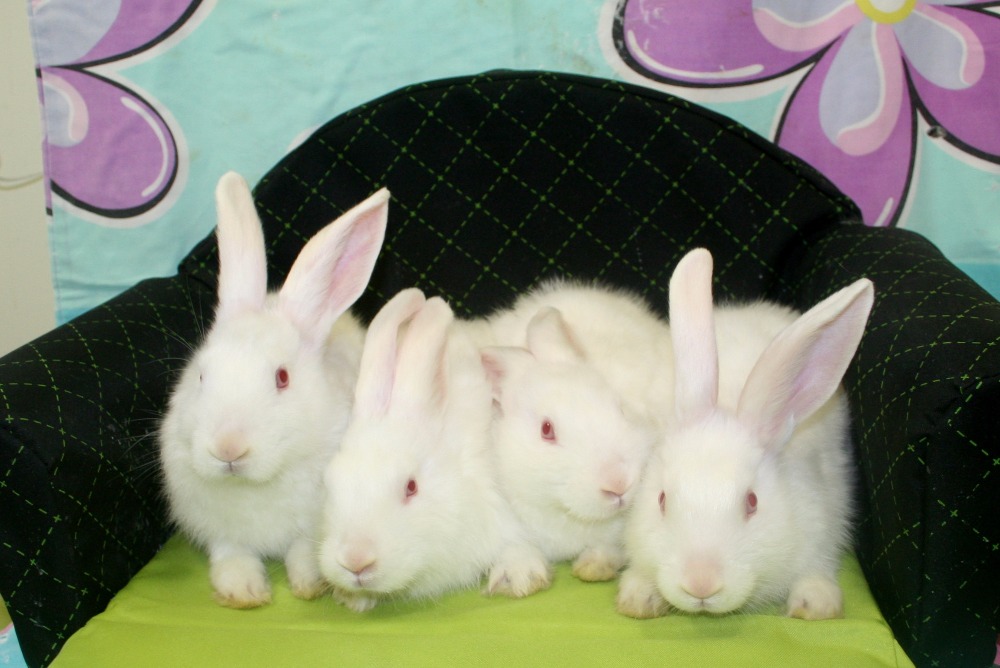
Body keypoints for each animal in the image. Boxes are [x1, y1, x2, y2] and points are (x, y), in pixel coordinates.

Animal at [159, 171, 388, 609]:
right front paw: (244, 593)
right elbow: (232, 554)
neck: (257, 481)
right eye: (201, 376)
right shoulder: (221, 531)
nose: (228, 448)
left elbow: (303, 552)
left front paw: (310, 585)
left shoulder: (312, 527)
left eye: (282, 378)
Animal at [317, 288, 551, 613]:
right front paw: (352, 599)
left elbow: (516, 542)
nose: (356, 561)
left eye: (411, 487)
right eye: (329, 484)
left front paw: (519, 577)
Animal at [616, 248, 874, 621]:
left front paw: (815, 605)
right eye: (662, 500)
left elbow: (816, 569)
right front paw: (639, 598)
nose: (701, 584)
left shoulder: (824, 523)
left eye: (752, 502)